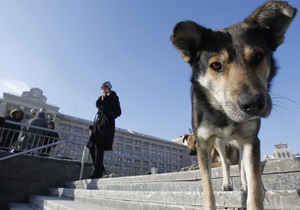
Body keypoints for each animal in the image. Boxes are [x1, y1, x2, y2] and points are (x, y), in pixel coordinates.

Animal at [170, 2, 296, 210]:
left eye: (258, 57)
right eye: (215, 65)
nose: (253, 104)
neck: (224, 114)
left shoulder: (251, 138)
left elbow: (253, 184)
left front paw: (253, 190)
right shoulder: (204, 143)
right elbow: (208, 189)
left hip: (240, 141)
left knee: (243, 166)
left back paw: (245, 184)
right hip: (220, 143)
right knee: (226, 164)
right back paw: (227, 183)